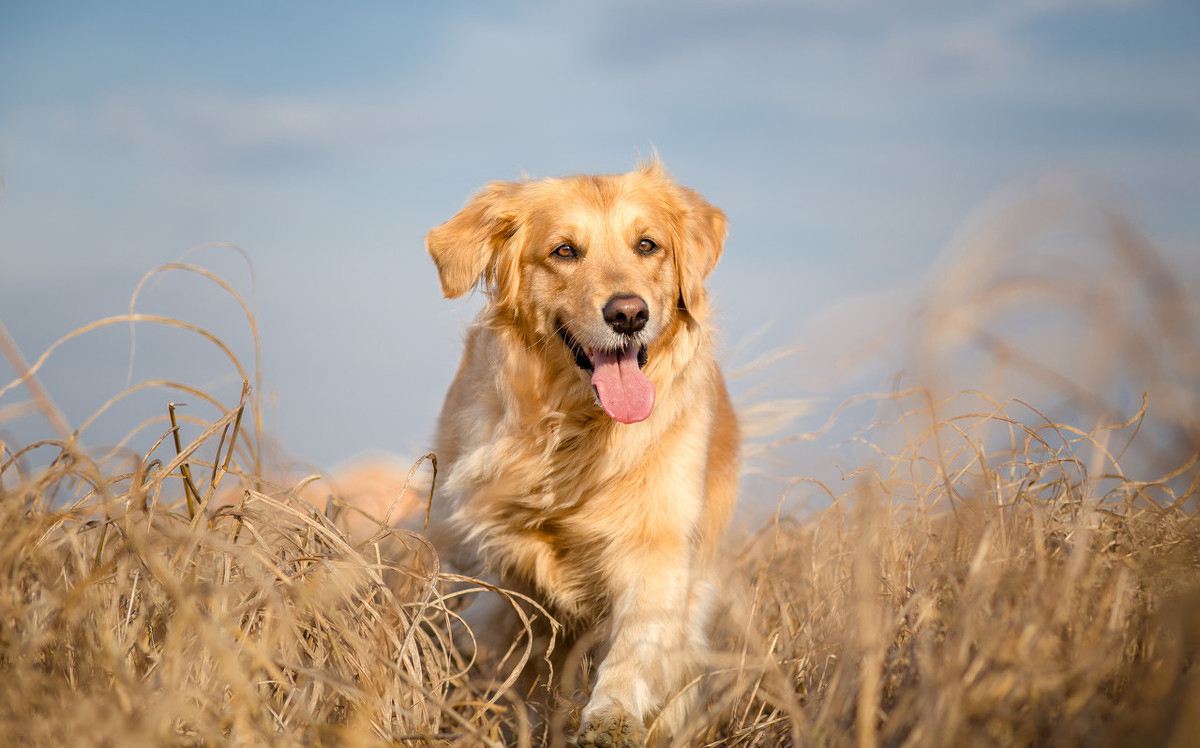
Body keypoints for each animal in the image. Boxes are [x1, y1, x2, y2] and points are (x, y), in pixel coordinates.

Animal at [422, 160, 739, 744]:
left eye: (647, 245)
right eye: (565, 250)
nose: (629, 314)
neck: (578, 428)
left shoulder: (658, 542)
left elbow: (638, 641)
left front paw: (612, 715)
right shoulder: (503, 556)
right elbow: (512, 646)